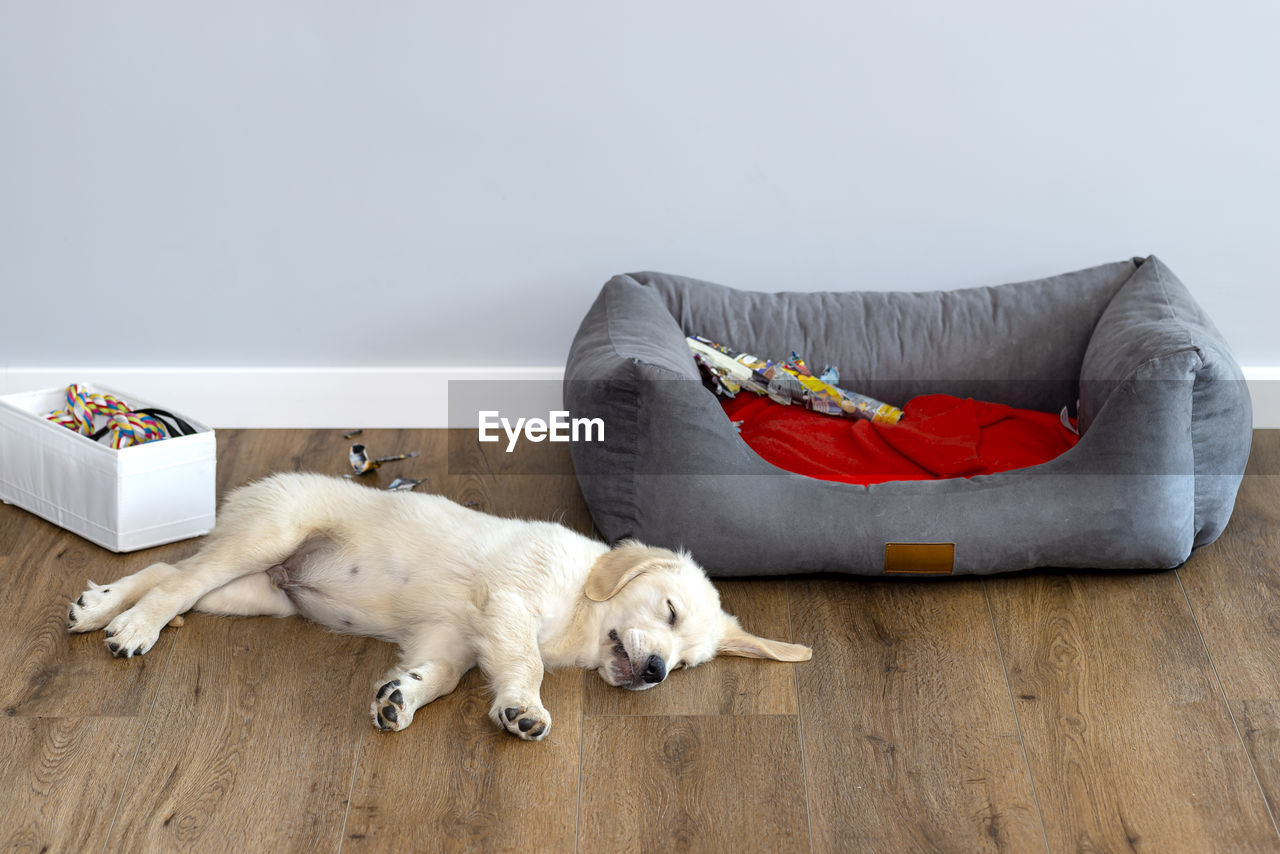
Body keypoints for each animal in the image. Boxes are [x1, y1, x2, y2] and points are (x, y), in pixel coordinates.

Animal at [64, 473, 808, 742]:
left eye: (685, 667)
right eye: (672, 612)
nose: (654, 674)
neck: (579, 605)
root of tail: (252, 489)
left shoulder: (448, 637)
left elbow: (443, 676)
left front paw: (402, 696)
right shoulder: (510, 603)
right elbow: (525, 665)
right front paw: (524, 710)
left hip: (257, 593)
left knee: (172, 571)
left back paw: (99, 605)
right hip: (267, 540)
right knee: (176, 582)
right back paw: (131, 626)